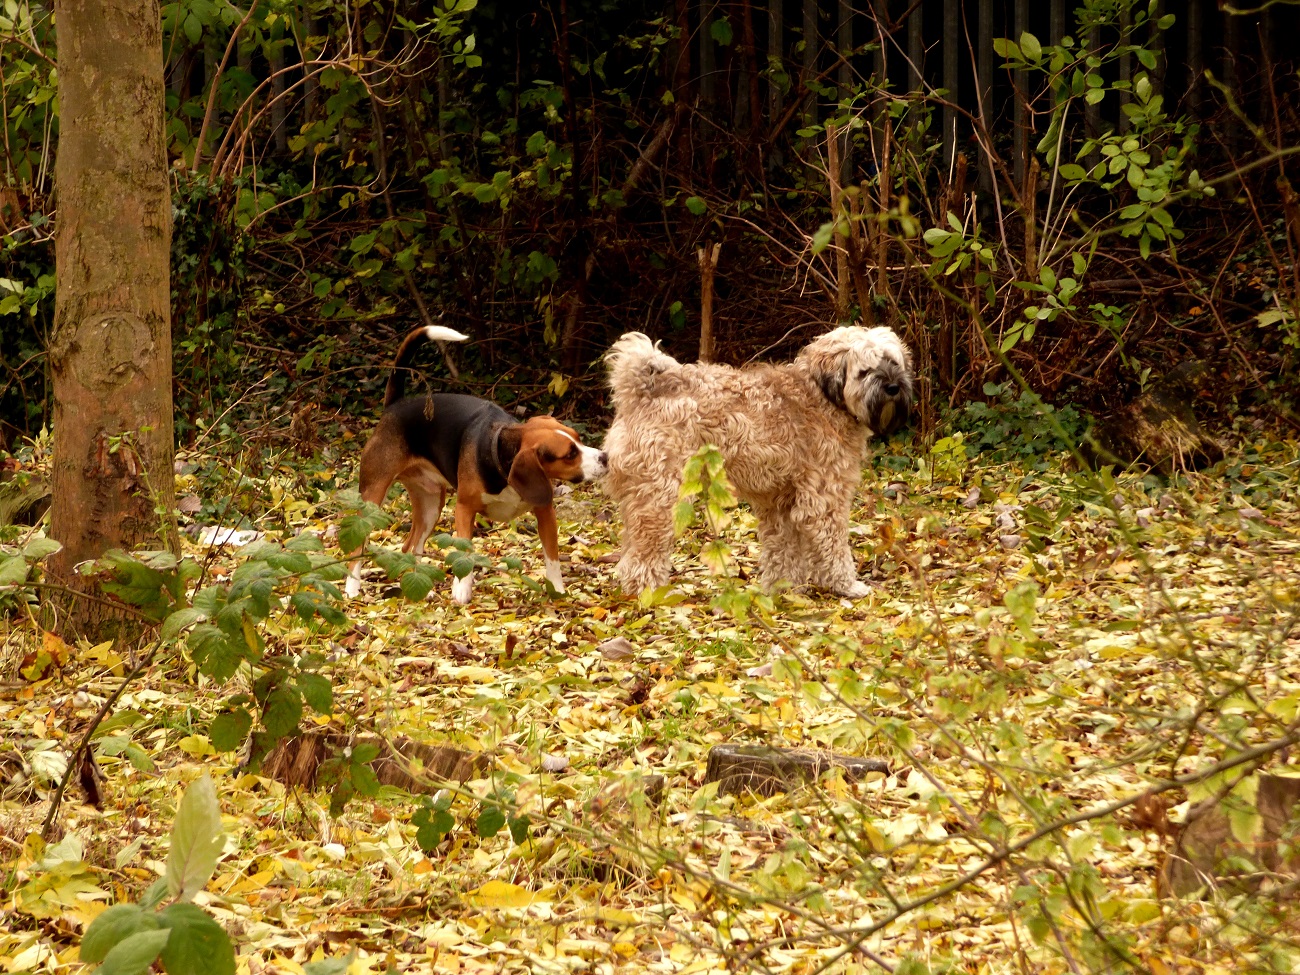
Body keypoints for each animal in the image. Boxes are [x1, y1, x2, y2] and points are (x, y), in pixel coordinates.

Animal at [605, 328, 915, 600]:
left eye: (892, 362)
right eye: (864, 371)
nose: (893, 387)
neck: (823, 398)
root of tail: (641, 391)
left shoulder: (782, 504)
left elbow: (784, 551)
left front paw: (786, 588)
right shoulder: (825, 500)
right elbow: (833, 546)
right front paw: (845, 585)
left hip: (640, 499)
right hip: (662, 500)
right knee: (642, 557)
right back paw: (650, 594)